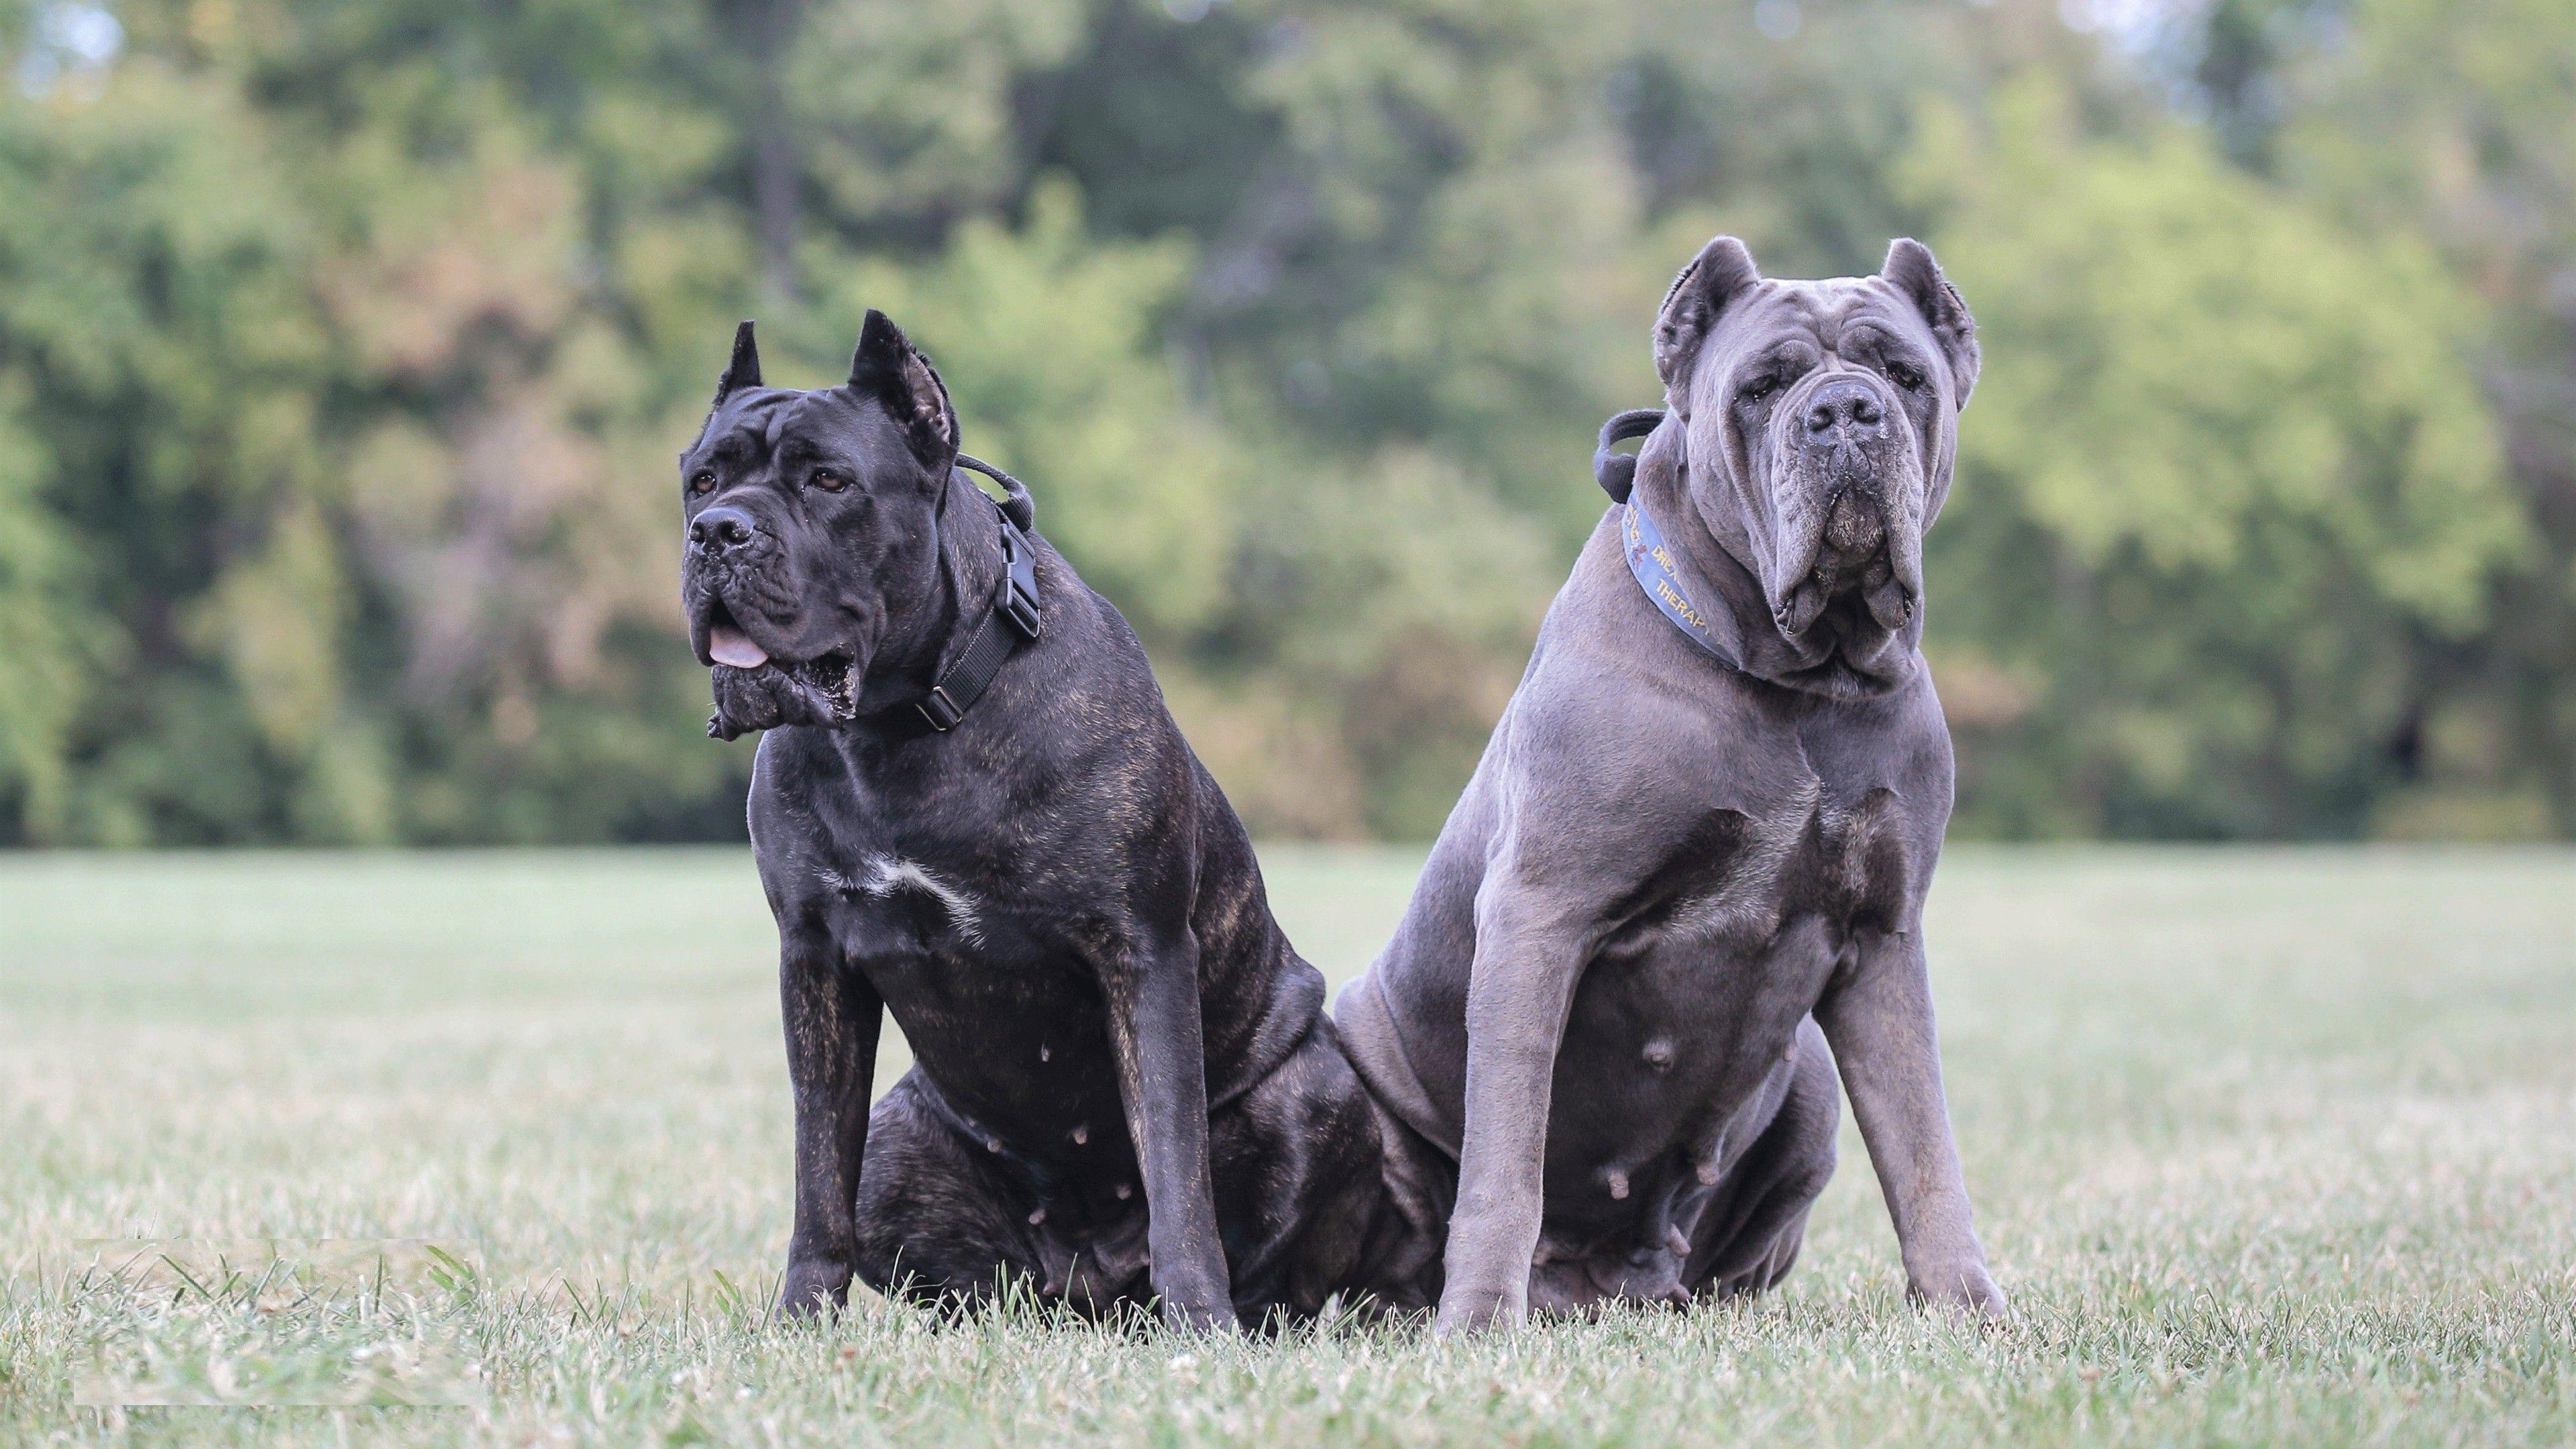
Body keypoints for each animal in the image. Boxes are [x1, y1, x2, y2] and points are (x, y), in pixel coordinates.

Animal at [675, 311, 1381, 1330]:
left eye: (831, 481)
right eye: (701, 480)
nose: (717, 532)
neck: (903, 724)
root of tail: (1091, 1287)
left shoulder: (1142, 953)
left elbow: (1176, 1169)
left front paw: (1203, 1325)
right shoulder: (814, 961)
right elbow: (817, 1173)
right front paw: (801, 1322)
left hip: (1318, 1096)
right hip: (900, 1144)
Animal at [1339, 237, 1998, 1330]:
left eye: (1906, 377)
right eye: (1761, 388)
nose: (1844, 411)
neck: (1795, 683)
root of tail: (1598, 1284)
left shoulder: (1883, 938)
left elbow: (1924, 1149)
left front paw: (1971, 1309)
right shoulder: (1539, 916)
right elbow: (1505, 1157)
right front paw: (1478, 1319)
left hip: (1807, 1087)